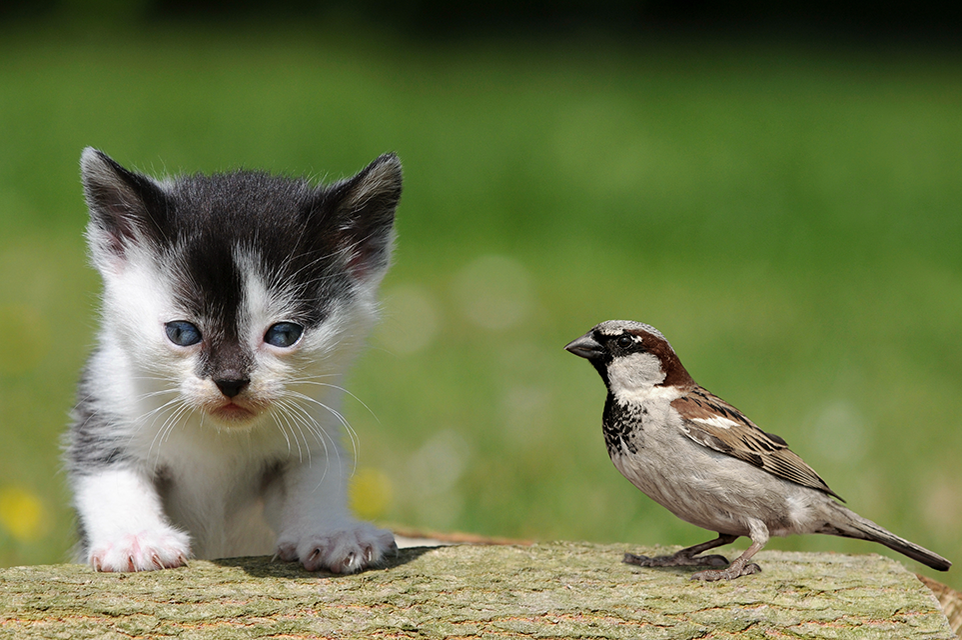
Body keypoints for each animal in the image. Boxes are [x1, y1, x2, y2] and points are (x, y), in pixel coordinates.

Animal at [64, 150, 402, 576]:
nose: (229, 381)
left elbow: (314, 477)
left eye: (283, 334)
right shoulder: (109, 402)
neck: (219, 436)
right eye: (182, 332)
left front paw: (331, 531)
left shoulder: (312, 428)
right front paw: (135, 538)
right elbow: (109, 476)